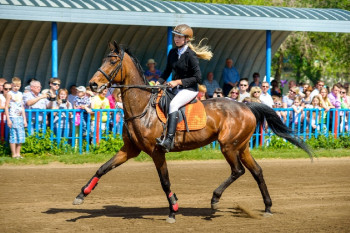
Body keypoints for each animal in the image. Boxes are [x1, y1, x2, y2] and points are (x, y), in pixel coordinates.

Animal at [73, 41, 312, 222]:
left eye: (113, 61)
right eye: (104, 59)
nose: (92, 85)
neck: (142, 107)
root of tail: (246, 106)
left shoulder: (157, 151)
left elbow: (165, 181)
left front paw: (173, 210)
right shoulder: (130, 149)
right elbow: (103, 168)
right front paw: (81, 195)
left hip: (228, 146)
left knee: (238, 171)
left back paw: (215, 199)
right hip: (242, 147)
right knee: (257, 171)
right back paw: (268, 207)